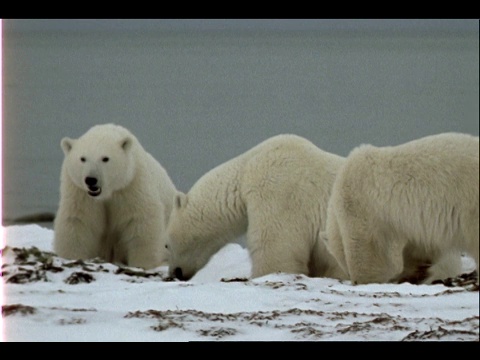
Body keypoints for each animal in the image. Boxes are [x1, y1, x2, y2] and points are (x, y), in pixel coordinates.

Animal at [53, 122, 176, 268]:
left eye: (105, 158)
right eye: (82, 158)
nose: (91, 180)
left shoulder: (131, 185)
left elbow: (141, 220)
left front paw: (142, 263)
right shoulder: (79, 192)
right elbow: (79, 221)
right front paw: (72, 257)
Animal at [322, 132, 480, 284]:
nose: (347, 275)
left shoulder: (358, 204)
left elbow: (365, 247)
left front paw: (365, 280)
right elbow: (420, 248)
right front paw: (415, 272)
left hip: (470, 201)